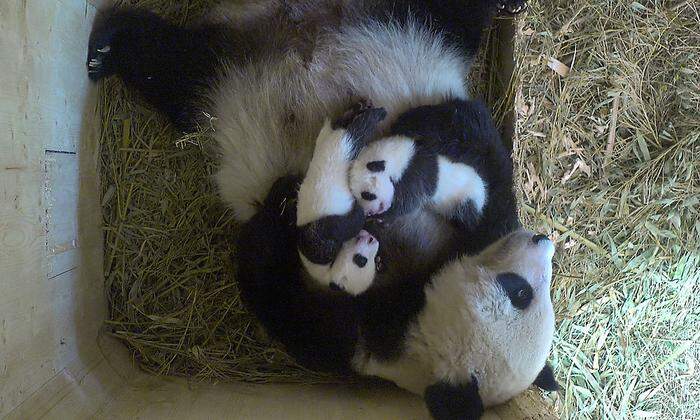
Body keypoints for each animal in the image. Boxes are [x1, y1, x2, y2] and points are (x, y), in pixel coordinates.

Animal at [86, 0, 556, 416]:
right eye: (520, 291)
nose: (543, 240)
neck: (412, 300)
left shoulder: (349, 337)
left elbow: (274, 288)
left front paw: (285, 202)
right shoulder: (477, 224)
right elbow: (479, 145)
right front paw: (421, 127)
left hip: (220, 78)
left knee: (173, 66)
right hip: (400, 24)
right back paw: (103, 47)